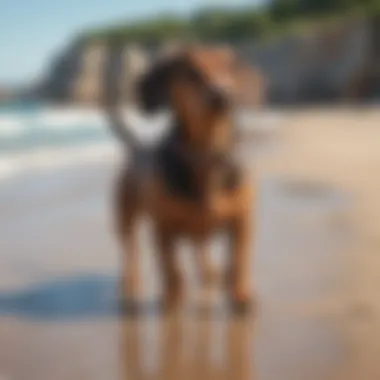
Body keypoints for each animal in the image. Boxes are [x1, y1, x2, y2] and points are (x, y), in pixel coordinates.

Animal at [103, 45, 264, 312]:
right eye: (191, 71)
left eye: (230, 67)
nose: (223, 96)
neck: (206, 155)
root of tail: (137, 147)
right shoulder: (164, 228)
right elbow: (171, 269)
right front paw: (172, 299)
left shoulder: (243, 220)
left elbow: (240, 259)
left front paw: (240, 293)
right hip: (125, 220)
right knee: (130, 253)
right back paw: (130, 285)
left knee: (201, 249)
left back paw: (210, 272)